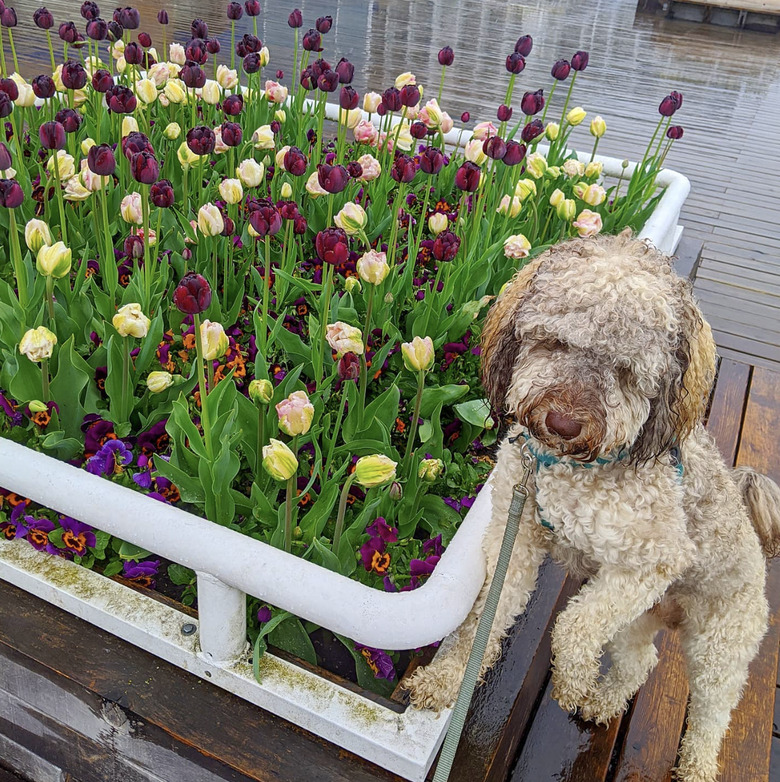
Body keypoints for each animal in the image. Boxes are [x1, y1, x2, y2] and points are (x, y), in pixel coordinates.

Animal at [406, 234, 780, 782]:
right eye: (556, 342)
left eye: (626, 373)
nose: (562, 423)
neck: (565, 469)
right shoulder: (517, 533)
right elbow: (482, 620)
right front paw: (447, 679)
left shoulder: (651, 562)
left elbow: (574, 626)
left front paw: (571, 682)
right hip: (638, 618)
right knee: (640, 660)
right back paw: (603, 703)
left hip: (719, 647)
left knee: (712, 716)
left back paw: (694, 766)